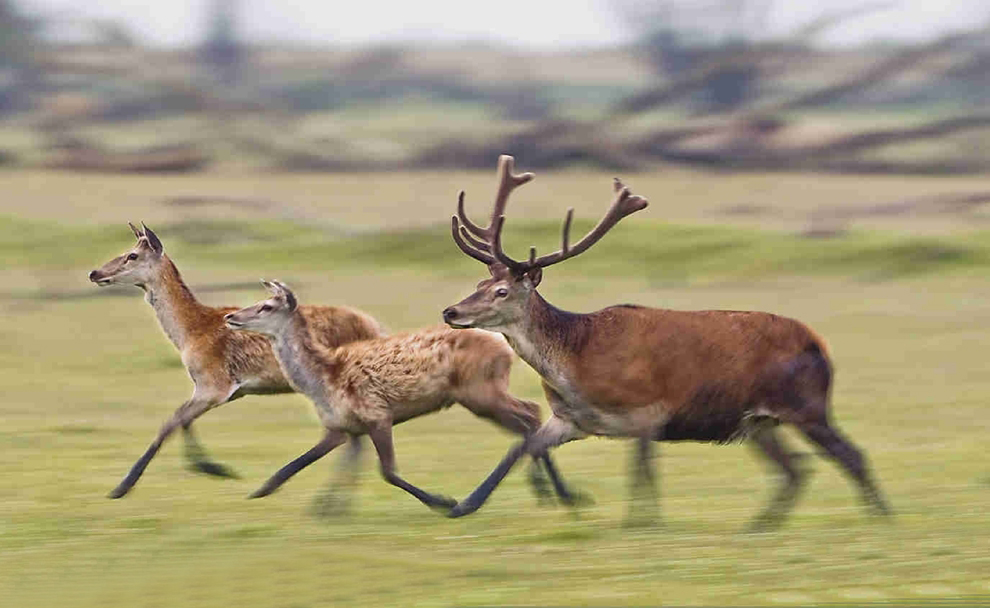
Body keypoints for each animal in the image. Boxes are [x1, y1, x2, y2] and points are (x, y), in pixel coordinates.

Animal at [222, 280, 576, 510]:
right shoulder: (342, 426)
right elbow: (303, 462)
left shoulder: (377, 414)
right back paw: (551, 492)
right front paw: (272, 493)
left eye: (266, 306)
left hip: (480, 391)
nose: (231, 317)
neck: (320, 382)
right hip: (482, 393)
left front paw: (442, 501)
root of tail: (502, 343)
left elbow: (388, 472)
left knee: (530, 413)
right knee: (530, 419)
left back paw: (550, 492)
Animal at [440, 155, 892, 529]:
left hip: (807, 405)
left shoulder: (648, 407)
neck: (576, 362)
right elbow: (520, 448)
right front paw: (461, 504)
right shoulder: (571, 419)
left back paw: (881, 516)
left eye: (501, 292)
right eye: (479, 284)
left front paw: (642, 520)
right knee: (795, 467)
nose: (451, 312)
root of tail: (819, 345)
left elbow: (642, 466)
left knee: (850, 455)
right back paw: (761, 524)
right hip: (759, 421)